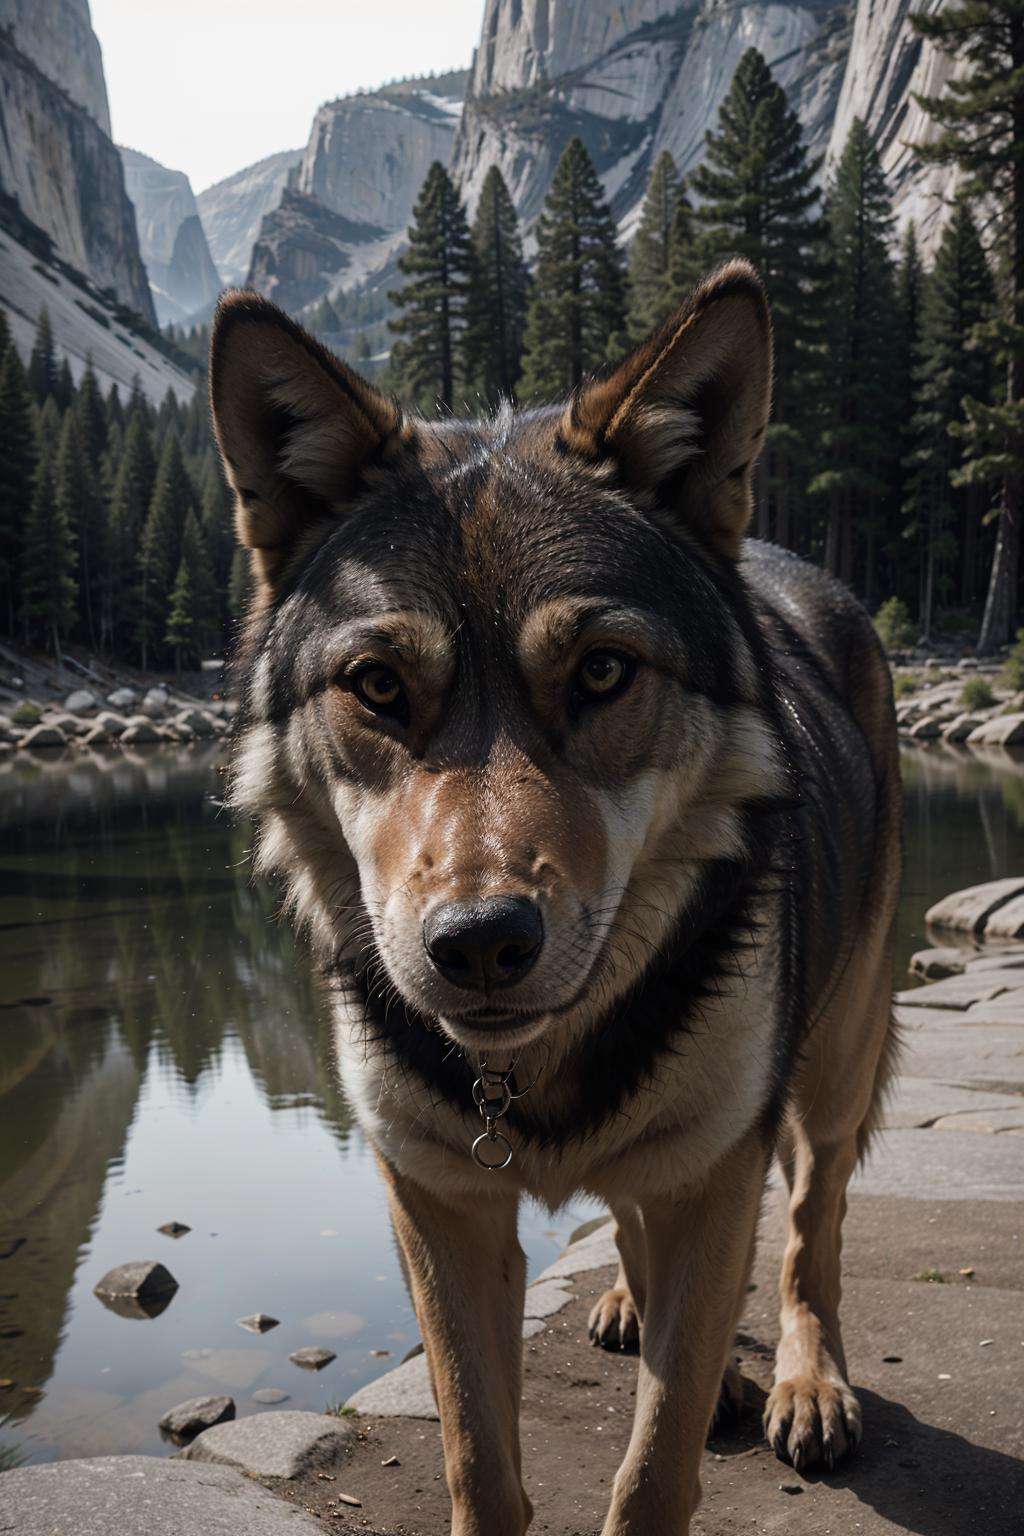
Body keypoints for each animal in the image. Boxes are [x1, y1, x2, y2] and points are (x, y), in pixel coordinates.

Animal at [211, 264, 902, 1536]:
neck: (532, 1074)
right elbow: (479, 1458)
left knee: (810, 1228)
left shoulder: (715, 1174)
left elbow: (654, 1464)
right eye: (377, 686)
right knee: (635, 1216)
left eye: (601, 672)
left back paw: (804, 1380)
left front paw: (714, 1405)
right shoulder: (436, 1206)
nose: (480, 943)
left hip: (834, 1060)